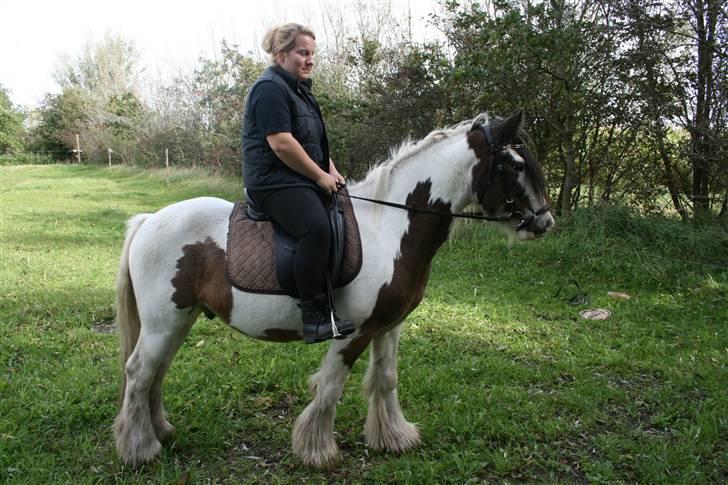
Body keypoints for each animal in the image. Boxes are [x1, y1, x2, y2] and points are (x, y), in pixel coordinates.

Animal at [114, 111, 556, 466]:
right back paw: (140, 449)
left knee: (156, 372)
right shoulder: (354, 331)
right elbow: (330, 385)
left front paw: (393, 438)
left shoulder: (389, 326)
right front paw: (317, 450)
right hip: (163, 322)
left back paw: (160, 432)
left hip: (178, 320)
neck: (388, 227)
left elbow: (385, 378)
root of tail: (149, 220)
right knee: (139, 372)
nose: (544, 223)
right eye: (513, 163)